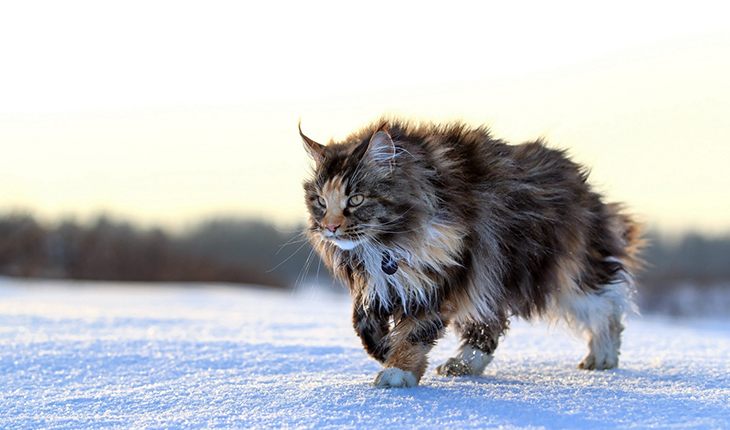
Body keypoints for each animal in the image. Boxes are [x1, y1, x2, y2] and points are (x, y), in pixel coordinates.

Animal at [298, 118, 640, 390]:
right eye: (320, 201)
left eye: (356, 199)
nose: (330, 227)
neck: (385, 244)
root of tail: (581, 182)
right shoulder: (380, 281)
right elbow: (362, 320)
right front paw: (383, 349)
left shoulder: (446, 271)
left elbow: (415, 332)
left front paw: (398, 371)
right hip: (492, 276)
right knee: (489, 325)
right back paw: (462, 365)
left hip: (562, 267)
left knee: (606, 306)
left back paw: (603, 356)